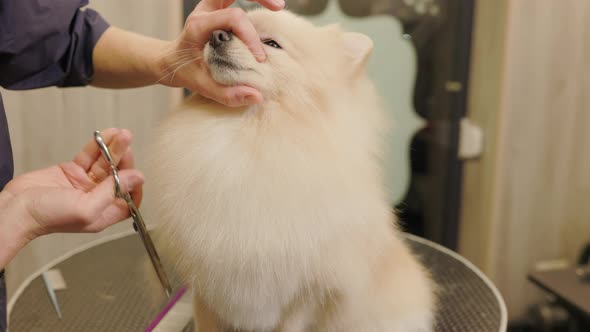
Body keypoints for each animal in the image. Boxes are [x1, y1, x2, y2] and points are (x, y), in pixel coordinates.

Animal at [148, 7, 434, 332]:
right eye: (227, 28)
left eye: (271, 44)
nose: (217, 35)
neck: (248, 130)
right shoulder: (207, 286)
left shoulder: (307, 294)